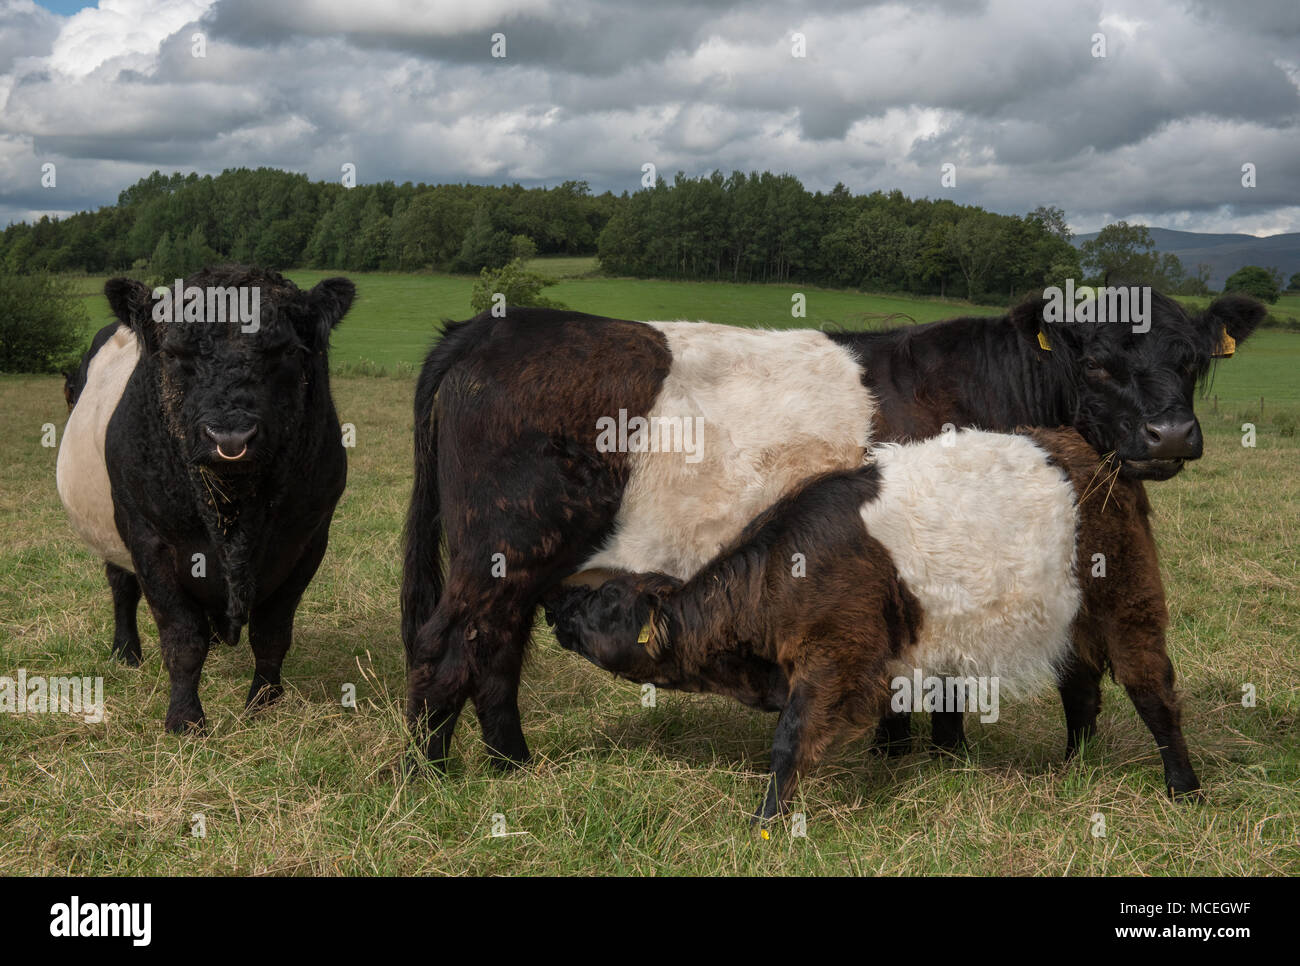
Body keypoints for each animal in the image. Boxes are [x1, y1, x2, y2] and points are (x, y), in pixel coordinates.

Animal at [57, 263, 356, 733]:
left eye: (287, 351)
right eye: (174, 354)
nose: (230, 436)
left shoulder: (308, 539)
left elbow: (272, 633)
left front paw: (264, 706)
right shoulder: (149, 537)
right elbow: (182, 636)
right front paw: (185, 719)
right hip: (109, 523)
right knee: (121, 585)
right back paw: (126, 653)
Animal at [403, 291, 1258, 764]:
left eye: (1191, 360)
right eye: (1099, 362)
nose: (1170, 436)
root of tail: (490, 328)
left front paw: (904, 753)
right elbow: (945, 674)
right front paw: (930, 756)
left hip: (519, 566)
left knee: (494, 655)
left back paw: (510, 766)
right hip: (503, 548)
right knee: (447, 648)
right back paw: (432, 775)